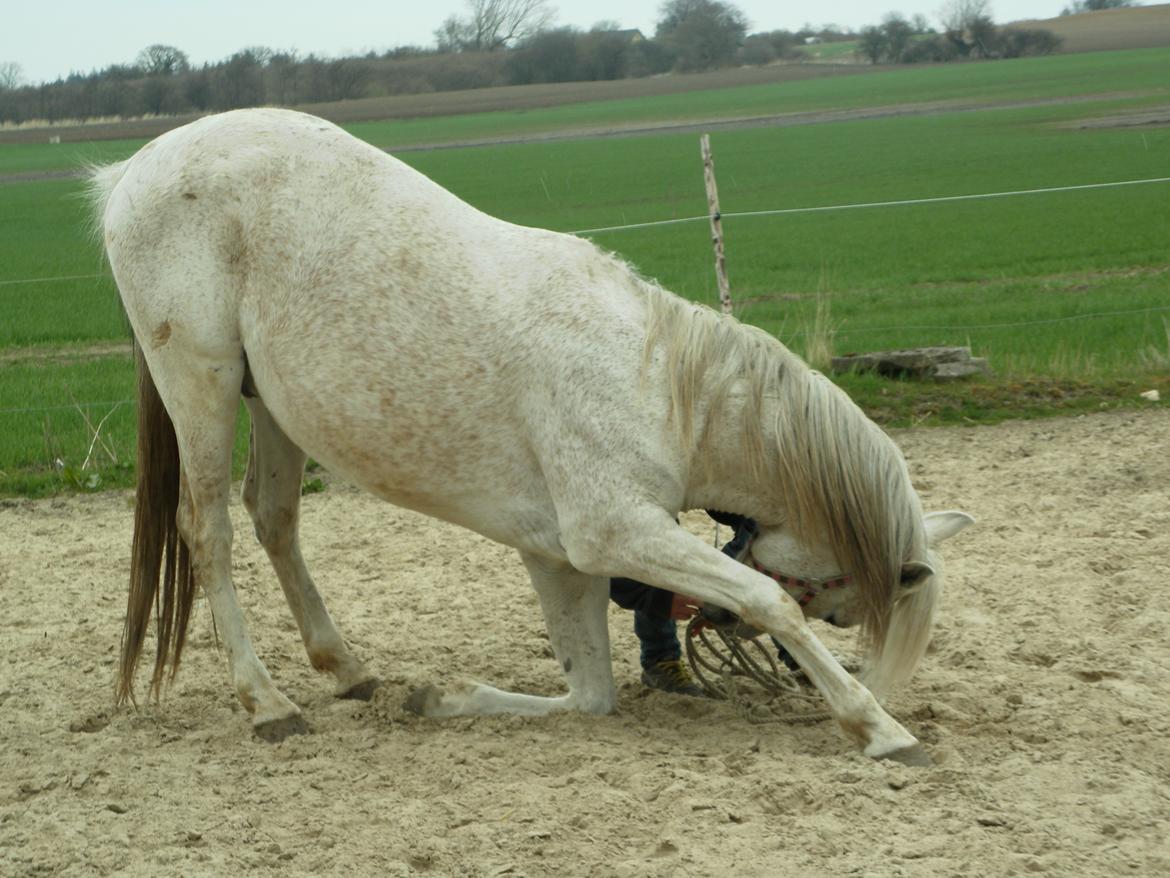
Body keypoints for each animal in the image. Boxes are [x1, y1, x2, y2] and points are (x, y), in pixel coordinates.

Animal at [88, 110, 968, 767]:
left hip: (272, 405)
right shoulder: (612, 532)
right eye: (836, 605)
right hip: (199, 381)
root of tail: (131, 172)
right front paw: (876, 725)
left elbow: (589, 694)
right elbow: (759, 594)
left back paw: (347, 669)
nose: (727, 638)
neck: (664, 387)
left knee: (274, 519)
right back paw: (266, 703)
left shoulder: (557, 557)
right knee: (208, 530)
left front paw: (443, 698)